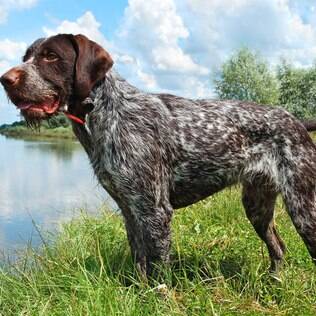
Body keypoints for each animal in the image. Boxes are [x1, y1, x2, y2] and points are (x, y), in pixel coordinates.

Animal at [0, 34, 316, 276]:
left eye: (51, 56)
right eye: (27, 56)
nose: (5, 79)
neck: (106, 111)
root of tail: (297, 122)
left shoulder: (154, 211)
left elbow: (157, 269)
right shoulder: (130, 209)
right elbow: (140, 261)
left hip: (303, 209)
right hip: (257, 205)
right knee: (278, 247)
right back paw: (275, 281)